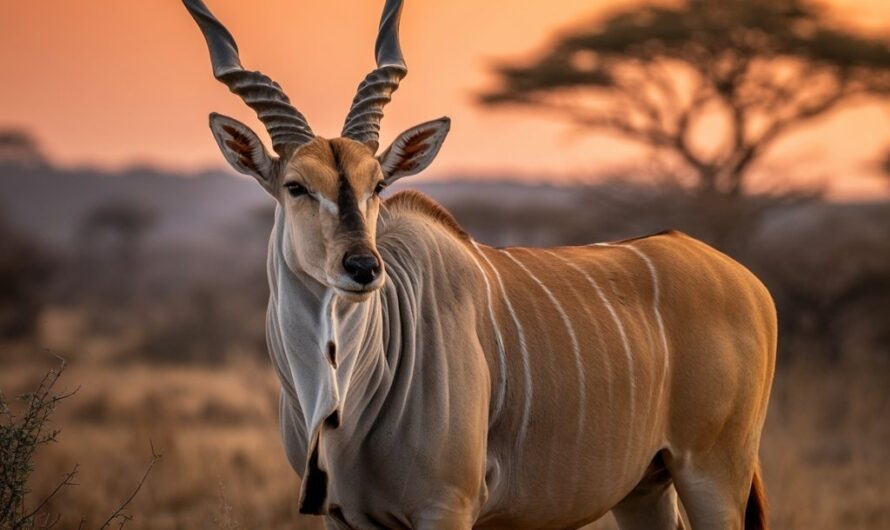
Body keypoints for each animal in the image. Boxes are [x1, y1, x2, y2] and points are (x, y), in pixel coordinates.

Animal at [183, 0, 777, 528]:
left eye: (378, 184)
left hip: (713, 473)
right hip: (643, 487)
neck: (345, 402)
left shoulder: (445, 508)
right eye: (296, 186)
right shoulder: (344, 518)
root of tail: (748, 283)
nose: (363, 268)